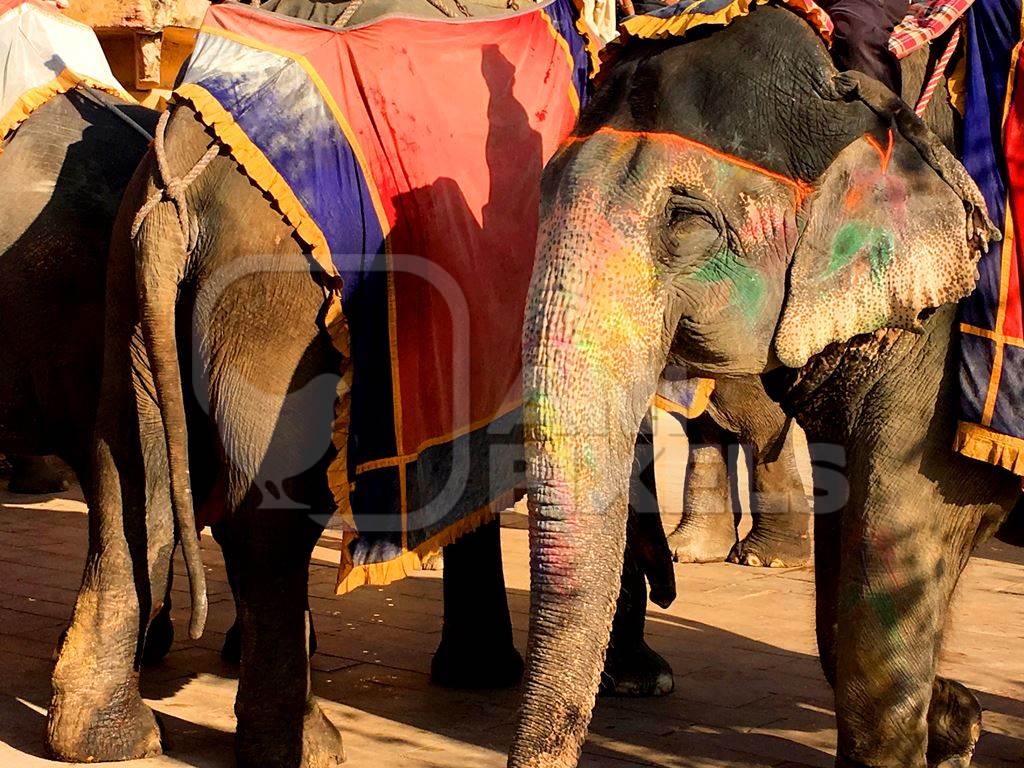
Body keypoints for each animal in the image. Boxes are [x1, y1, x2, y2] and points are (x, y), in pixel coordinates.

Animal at [507, 6, 1011, 768]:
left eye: (684, 219)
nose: (667, 589)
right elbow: (841, 589)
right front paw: (955, 720)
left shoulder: (951, 324)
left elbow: (898, 537)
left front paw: (945, 724)